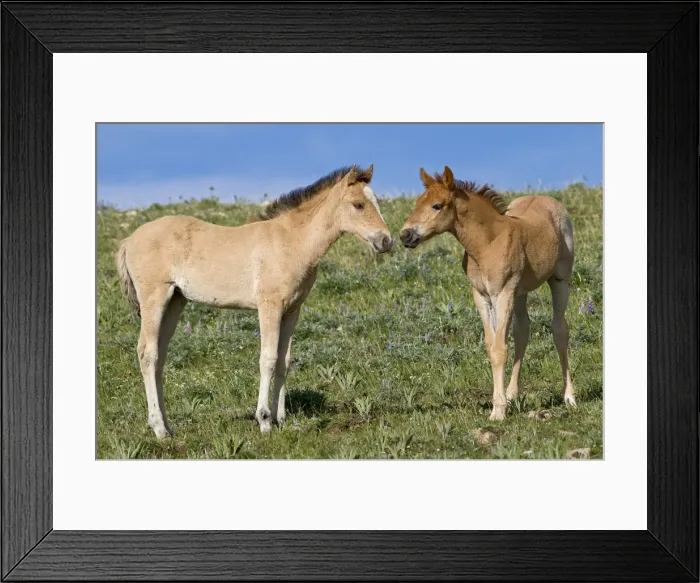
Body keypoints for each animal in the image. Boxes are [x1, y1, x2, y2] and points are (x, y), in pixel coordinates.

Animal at [115, 164, 393, 437]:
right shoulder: (269, 306)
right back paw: (159, 428)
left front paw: (281, 419)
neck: (291, 242)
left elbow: (284, 361)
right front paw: (264, 421)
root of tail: (129, 241)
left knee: (160, 356)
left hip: (175, 301)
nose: (386, 240)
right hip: (155, 298)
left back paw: (168, 426)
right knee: (148, 353)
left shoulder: (292, 310)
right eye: (358, 204)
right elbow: (268, 359)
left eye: (376, 201)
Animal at [399, 166, 576, 421]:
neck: (487, 244)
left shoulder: (502, 293)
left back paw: (569, 396)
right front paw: (501, 403)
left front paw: (498, 412)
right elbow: (491, 346)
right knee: (522, 332)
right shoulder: (482, 297)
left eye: (437, 205)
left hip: (559, 279)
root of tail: (548, 199)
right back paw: (512, 394)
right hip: (520, 293)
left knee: (560, 329)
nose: (405, 236)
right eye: (417, 203)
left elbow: (500, 349)